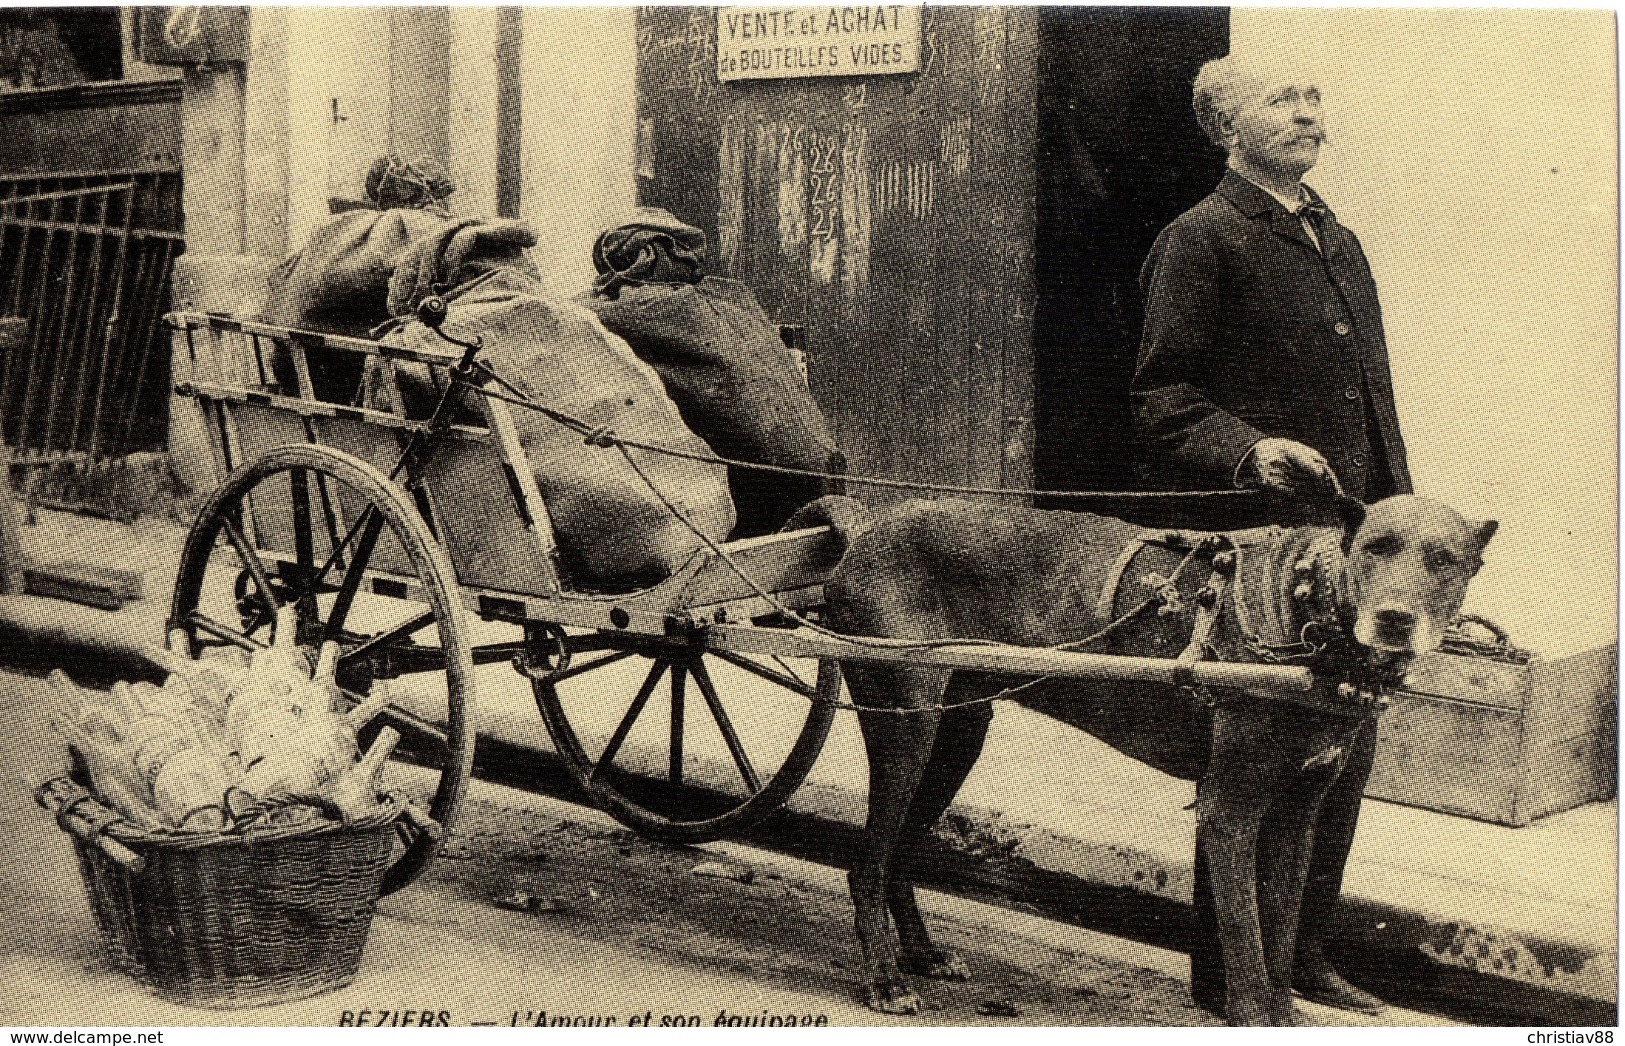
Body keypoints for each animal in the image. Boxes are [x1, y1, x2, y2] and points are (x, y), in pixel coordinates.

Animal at [799, 493, 1495, 1026]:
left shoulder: (1298, 809)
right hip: (907, 722)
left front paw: (1283, 1008)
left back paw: (919, 954)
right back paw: (883, 977)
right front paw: (1252, 1013)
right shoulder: (1229, 808)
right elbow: (1243, 929)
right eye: (1375, 547)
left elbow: (1280, 917)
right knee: (870, 862)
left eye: (1443, 560)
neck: (1305, 617)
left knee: (900, 853)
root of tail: (867, 523)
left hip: (959, 730)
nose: (1395, 618)